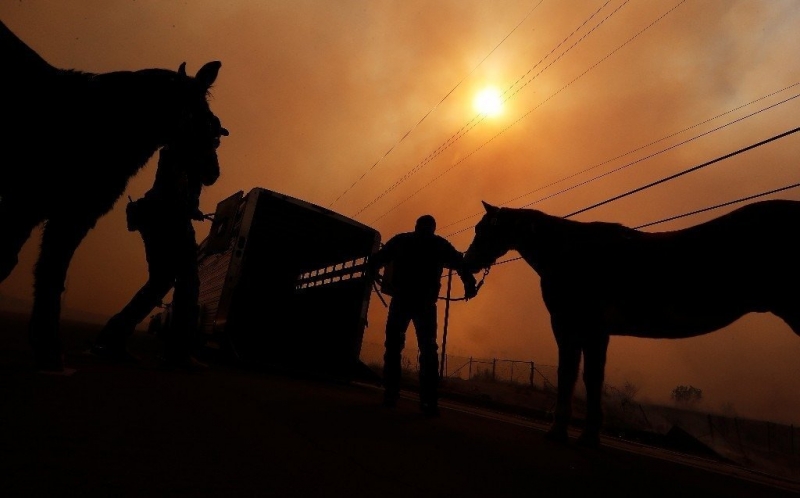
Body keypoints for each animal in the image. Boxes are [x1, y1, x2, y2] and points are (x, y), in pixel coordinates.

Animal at [0, 20, 225, 370]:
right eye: (207, 122)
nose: (212, 173)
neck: (103, 120)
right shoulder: (61, 209)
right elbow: (45, 270)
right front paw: (49, 351)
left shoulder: (41, 207)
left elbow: (25, 263)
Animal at [462, 198, 800, 448]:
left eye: (482, 229)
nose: (468, 261)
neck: (569, 251)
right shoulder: (597, 332)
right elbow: (592, 378)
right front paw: (589, 435)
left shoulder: (570, 326)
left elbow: (569, 375)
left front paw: (560, 431)